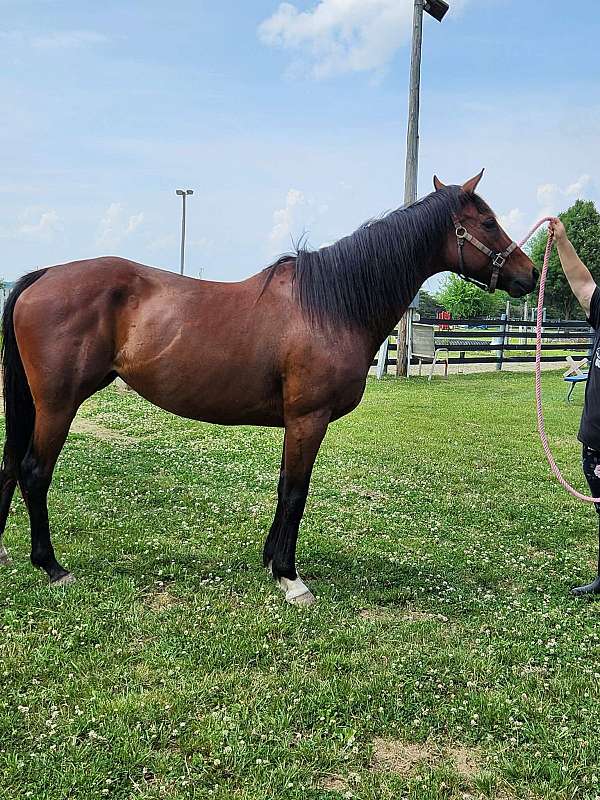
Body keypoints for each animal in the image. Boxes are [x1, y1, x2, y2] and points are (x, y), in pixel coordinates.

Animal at [0, 171, 537, 604]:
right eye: (488, 222)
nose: (529, 275)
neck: (330, 306)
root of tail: (44, 275)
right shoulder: (308, 419)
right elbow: (296, 492)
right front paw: (289, 577)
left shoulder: (295, 424)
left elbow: (283, 487)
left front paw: (269, 560)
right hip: (58, 404)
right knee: (33, 472)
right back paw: (52, 566)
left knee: (11, 469)